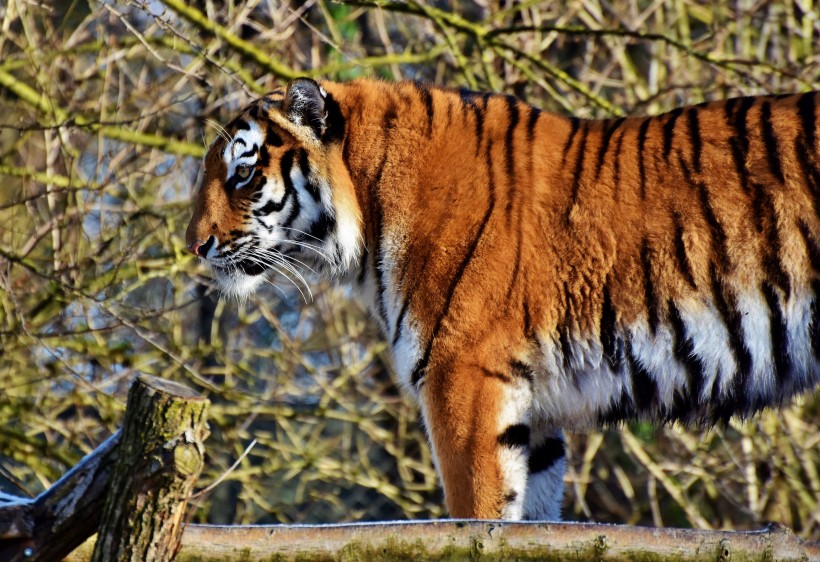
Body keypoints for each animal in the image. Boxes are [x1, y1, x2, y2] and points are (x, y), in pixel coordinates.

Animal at [186, 76, 820, 520]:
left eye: (242, 174)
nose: (195, 245)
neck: (368, 204)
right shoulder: (532, 413)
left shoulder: (462, 376)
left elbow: (476, 515)